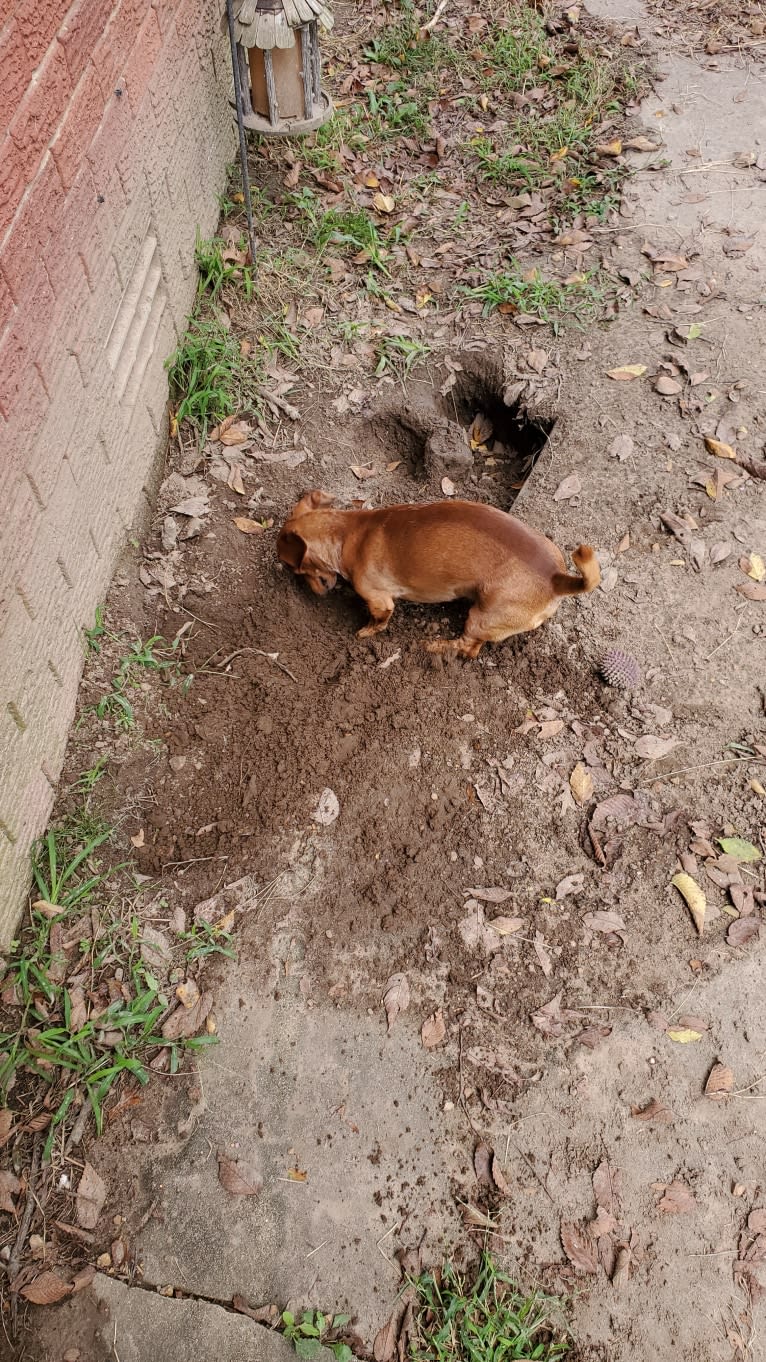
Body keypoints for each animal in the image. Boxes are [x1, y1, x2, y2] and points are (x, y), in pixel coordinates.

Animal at [276, 493, 599, 656]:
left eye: (292, 567)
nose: (315, 592)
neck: (347, 534)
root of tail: (556, 578)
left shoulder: (380, 601)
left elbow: (378, 621)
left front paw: (366, 631)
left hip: (481, 616)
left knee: (466, 645)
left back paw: (434, 646)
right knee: (475, 648)